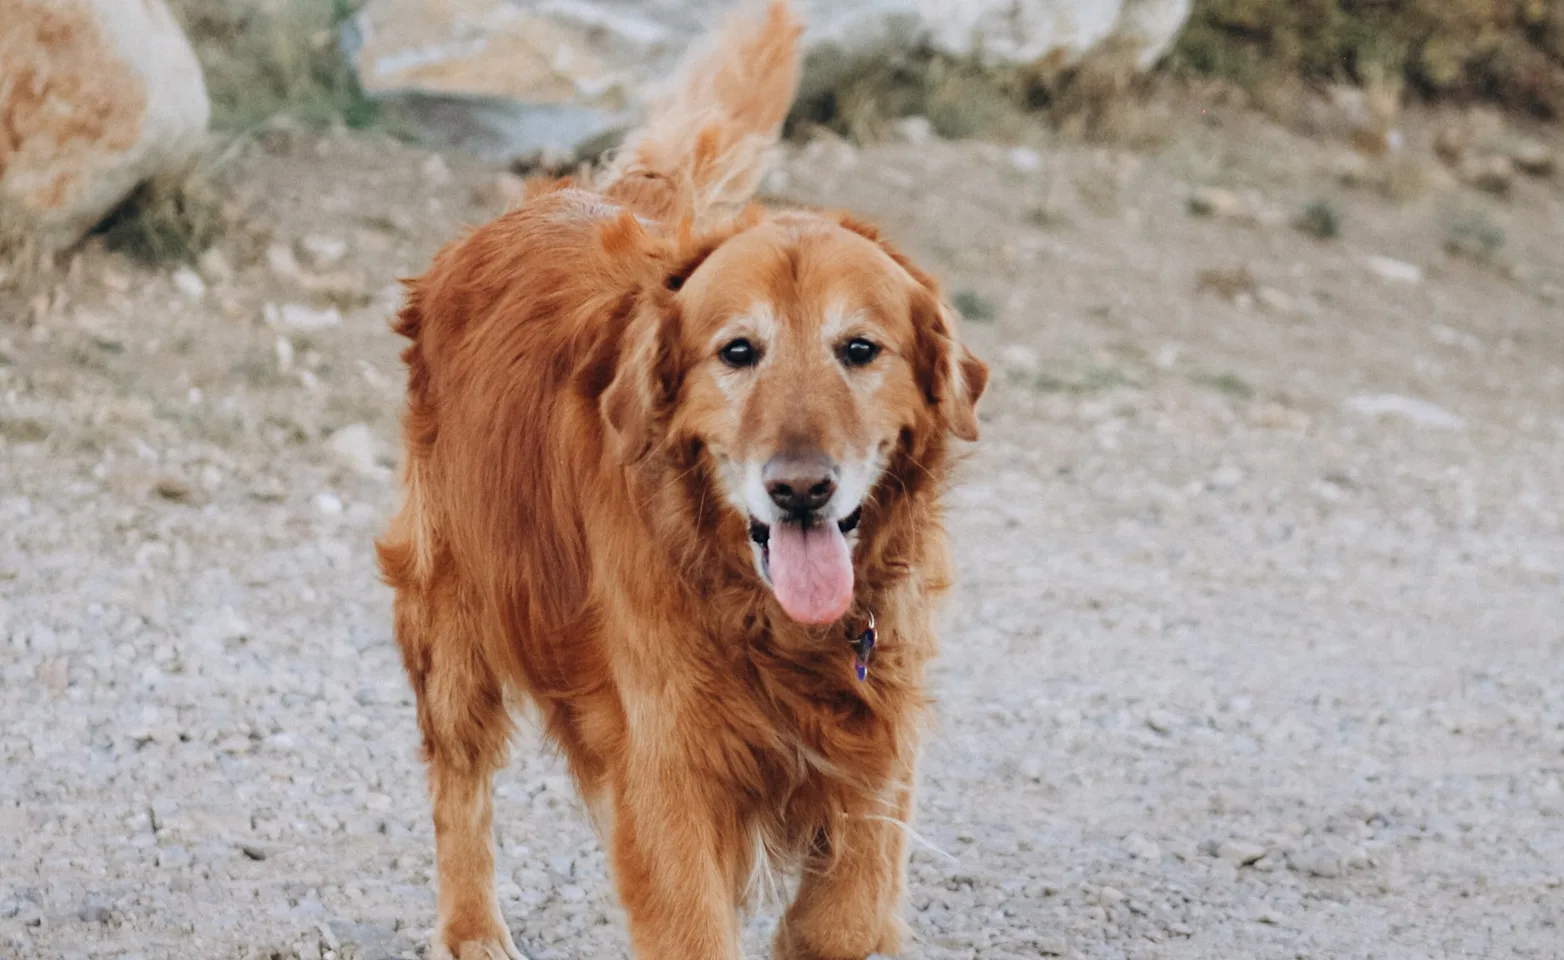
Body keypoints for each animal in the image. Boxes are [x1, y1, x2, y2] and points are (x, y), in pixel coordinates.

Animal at [375, 3, 988, 956]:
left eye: (859, 348)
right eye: (738, 351)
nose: (800, 488)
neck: (770, 624)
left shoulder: (880, 739)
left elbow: (844, 910)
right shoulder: (669, 770)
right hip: (453, 611)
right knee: (458, 777)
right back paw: (473, 928)